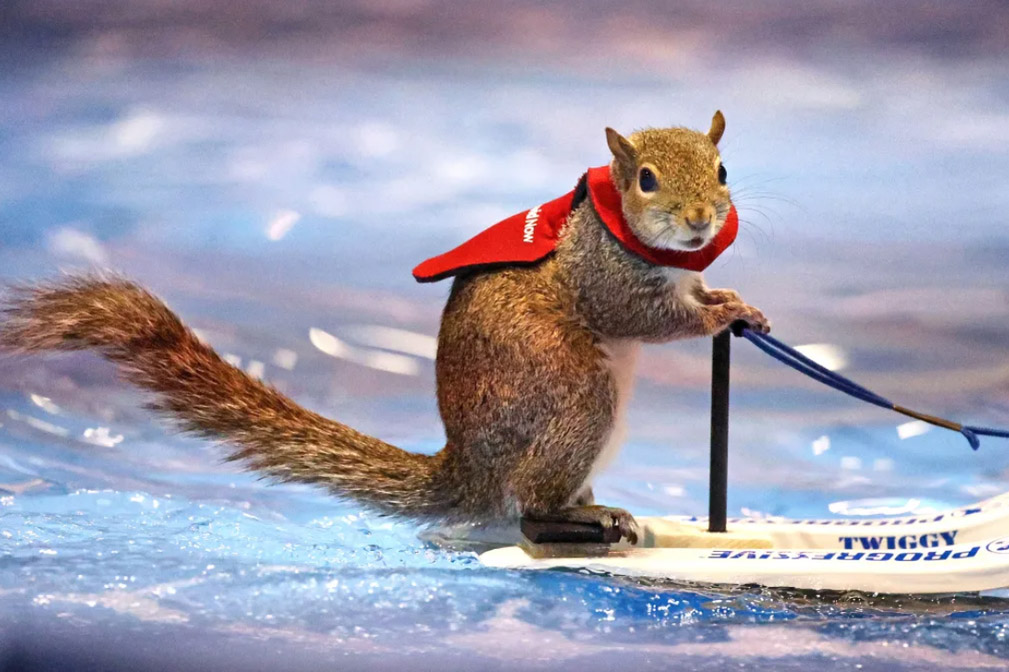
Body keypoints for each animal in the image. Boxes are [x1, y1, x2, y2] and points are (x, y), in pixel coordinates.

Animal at [0, 111, 768, 544]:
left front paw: (734, 298)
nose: (701, 220)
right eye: (644, 179)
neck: (640, 241)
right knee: (528, 504)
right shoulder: (603, 278)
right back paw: (585, 518)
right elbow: (643, 317)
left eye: (723, 168)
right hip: (574, 392)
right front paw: (721, 314)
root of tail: (468, 470)